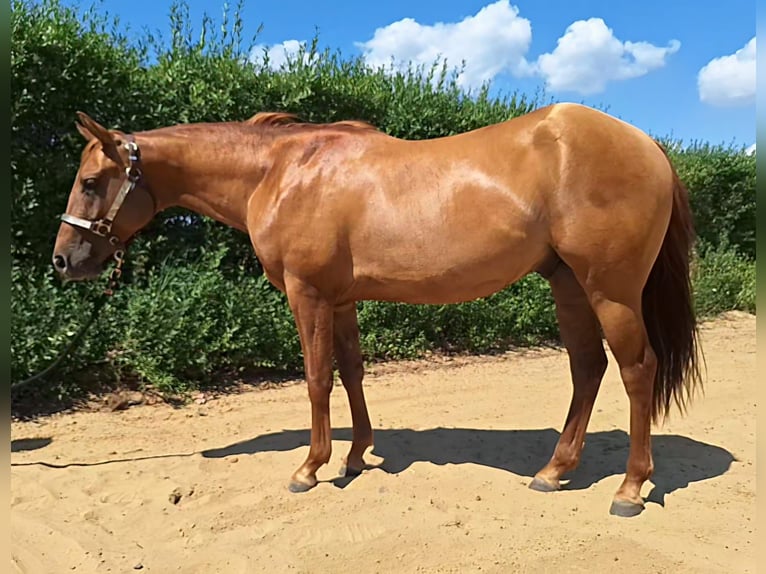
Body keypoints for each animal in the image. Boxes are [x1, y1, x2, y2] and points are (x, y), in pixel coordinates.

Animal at [52, 103, 703, 517]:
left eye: (90, 182)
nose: (62, 262)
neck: (282, 173)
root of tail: (648, 145)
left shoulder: (308, 294)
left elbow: (317, 378)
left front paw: (309, 467)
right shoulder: (341, 299)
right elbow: (352, 372)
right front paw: (355, 456)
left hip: (610, 290)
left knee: (637, 371)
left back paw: (630, 488)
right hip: (568, 284)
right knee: (587, 368)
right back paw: (554, 471)